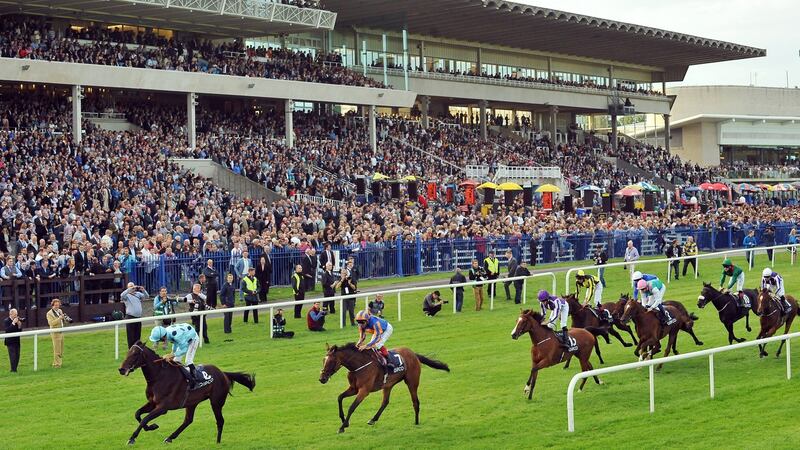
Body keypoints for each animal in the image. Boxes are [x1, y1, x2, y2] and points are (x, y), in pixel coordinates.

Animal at [117, 342, 255, 444]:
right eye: (128, 352)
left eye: (135, 354)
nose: (121, 369)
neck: (159, 377)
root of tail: (223, 373)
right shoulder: (152, 403)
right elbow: (137, 414)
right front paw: (152, 427)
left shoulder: (163, 408)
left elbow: (145, 419)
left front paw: (132, 438)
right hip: (192, 403)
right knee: (188, 420)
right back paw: (170, 437)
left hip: (216, 402)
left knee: (220, 421)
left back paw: (218, 442)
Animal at [322, 342, 454, 434]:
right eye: (323, 360)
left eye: (331, 361)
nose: (321, 378)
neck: (359, 366)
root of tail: (413, 354)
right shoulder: (354, 389)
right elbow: (339, 398)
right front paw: (344, 420)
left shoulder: (364, 391)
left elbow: (352, 407)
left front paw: (342, 427)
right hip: (388, 385)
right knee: (385, 402)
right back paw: (373, 419)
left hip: (412, 382)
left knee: (415, 402)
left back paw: (416, 422)